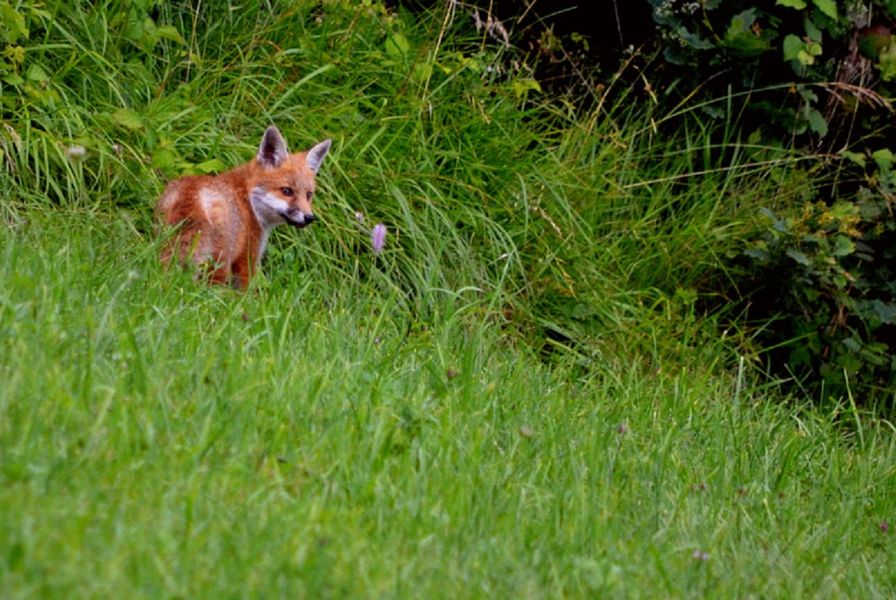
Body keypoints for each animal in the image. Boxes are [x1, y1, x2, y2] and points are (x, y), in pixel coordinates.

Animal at [156, 126, 331, 288]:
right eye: (287, 191)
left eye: (308, 195)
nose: (309, 217)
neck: (249, 201)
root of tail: (192, 195)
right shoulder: (247, 257)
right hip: (221, 261)